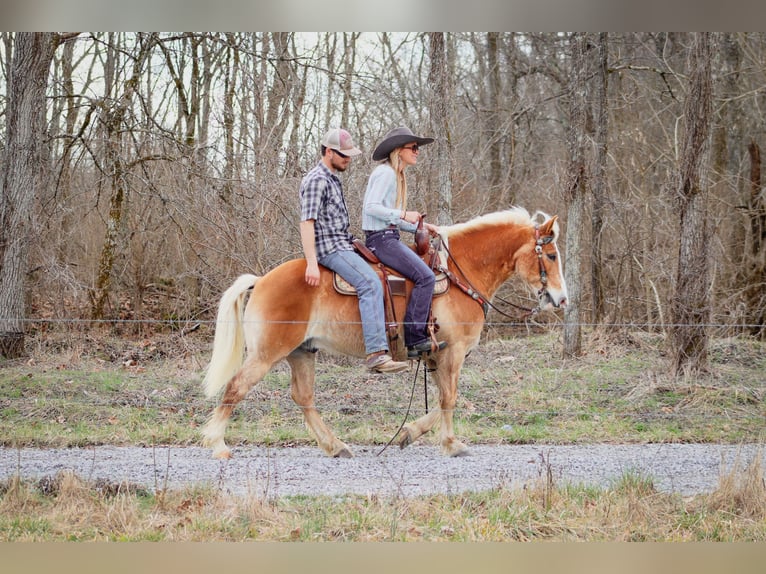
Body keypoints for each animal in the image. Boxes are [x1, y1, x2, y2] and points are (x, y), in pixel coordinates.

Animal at [201, 207, 568, 460]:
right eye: (550, 255)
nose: (561, 299)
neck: (460, 273)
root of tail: (261, 280)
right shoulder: (452, 352)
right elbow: (449, 398)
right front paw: (452, 444)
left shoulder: (436, 355)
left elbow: (442, 399)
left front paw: (409, 433)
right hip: (267, 354)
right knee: (235, 387)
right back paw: (218, 445)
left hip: (301, 352)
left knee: (303, 398)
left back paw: (335, 446)